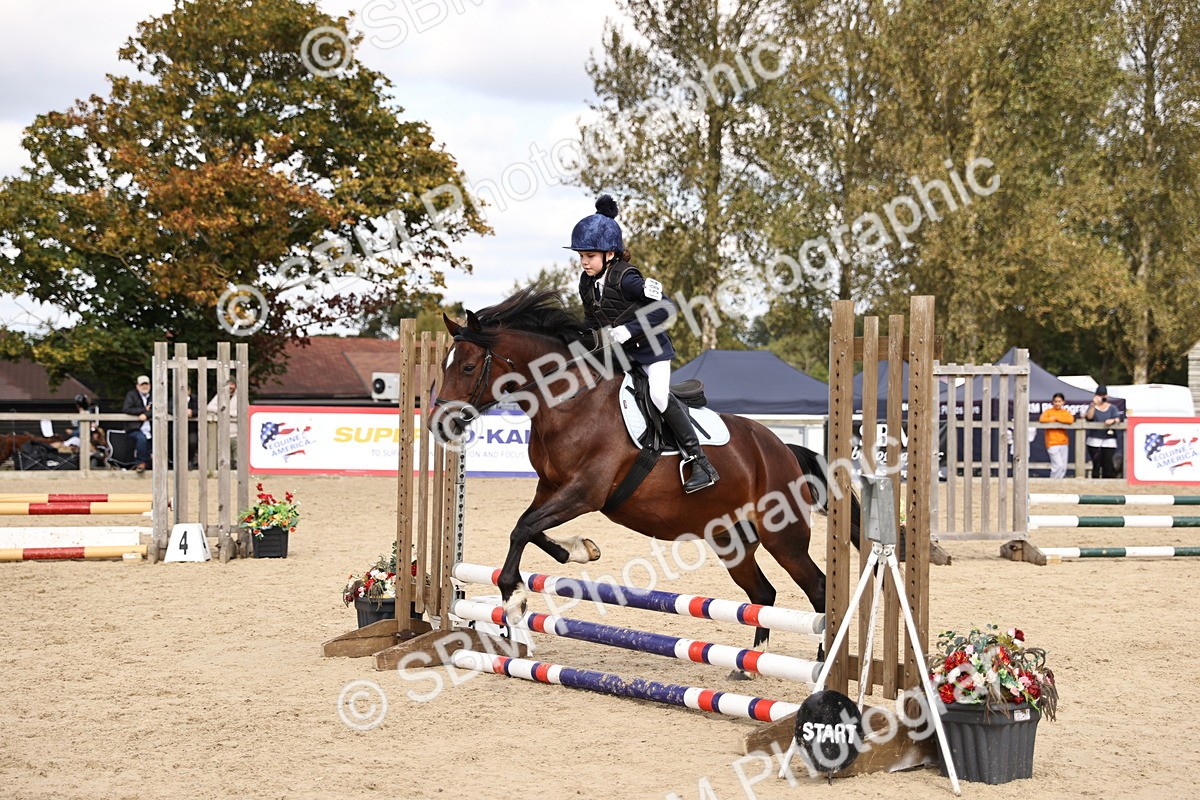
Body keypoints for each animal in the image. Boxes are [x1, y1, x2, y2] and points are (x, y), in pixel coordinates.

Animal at [433, 288, 860, 673]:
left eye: (467, 367)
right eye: (443, 365)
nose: (440, 424)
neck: (570, 403)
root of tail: (782, 448)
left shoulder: (584, 493)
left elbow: (522, 529)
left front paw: (514, 598)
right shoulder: (551, 489)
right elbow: (528, 527)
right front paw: (581, 550)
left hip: (783, 537)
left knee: (818, 589)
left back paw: (823, 662)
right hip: (731, 539)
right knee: (762, 592)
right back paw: (748, 664)